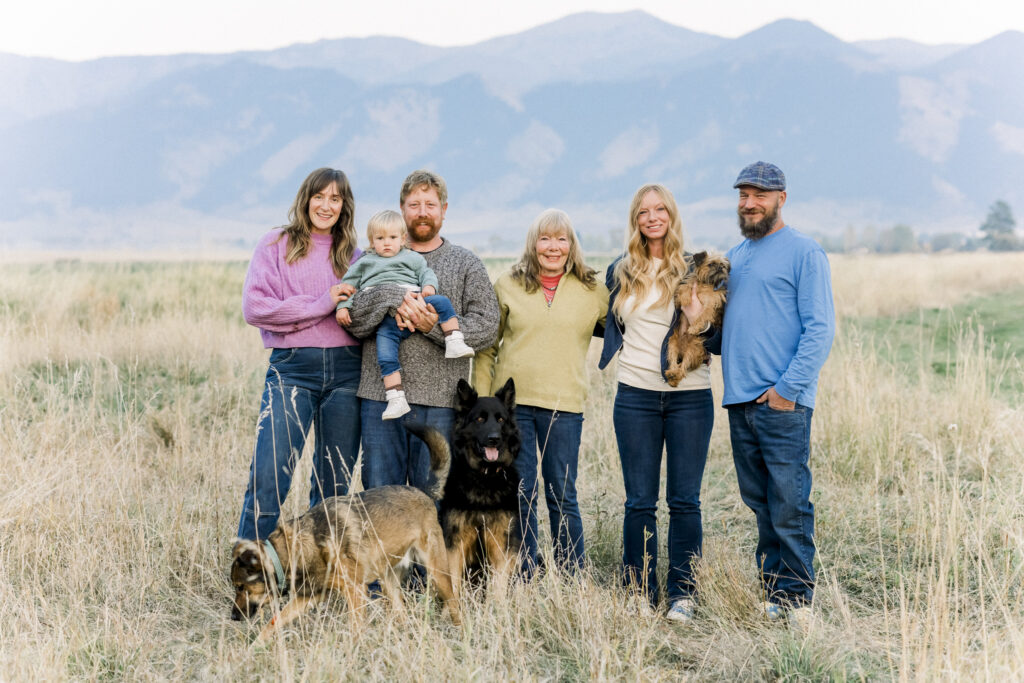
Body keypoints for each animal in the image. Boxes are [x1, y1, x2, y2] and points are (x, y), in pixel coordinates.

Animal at [232, 421, 460, 647]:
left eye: (241, 587)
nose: (233, 617)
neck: (300, 546)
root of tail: (423, 492)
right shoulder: (308, 597)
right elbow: (274, 622)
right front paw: (253, 647)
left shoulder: (355, 590)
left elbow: (356, 629)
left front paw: (353, 651)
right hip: (390, 582)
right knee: (402, 613)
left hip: (437, 573)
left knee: (455, 604)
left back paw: (461, 632)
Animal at [438, 374, 520, 589]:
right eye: (480, 419)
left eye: (501, 419)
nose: (494, 439)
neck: (485, 477)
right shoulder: (455, 543)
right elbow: (454, 584)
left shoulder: (500, 543)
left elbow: (498, 587)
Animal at [663, 250, 729, 387]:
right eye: (711, 264)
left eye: (723, 265)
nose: (720, 268)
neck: (705, 285)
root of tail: (682, 351)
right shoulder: (681, 294)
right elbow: (684, 289)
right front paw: (686, 298)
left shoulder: (711, 304)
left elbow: (703, 315)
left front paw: (694, 328)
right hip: (672, 344)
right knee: (673, 361)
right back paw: (672, 373)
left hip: (694, 348)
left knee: (683, 367)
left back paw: (675, 375)